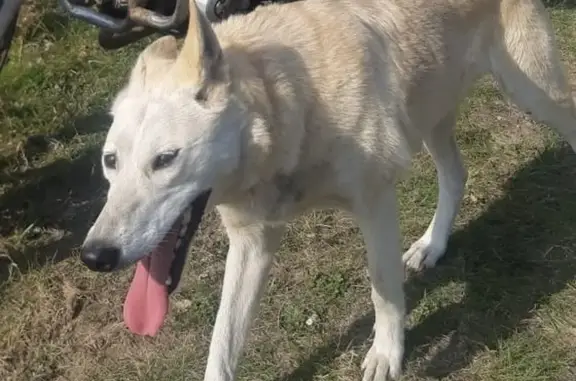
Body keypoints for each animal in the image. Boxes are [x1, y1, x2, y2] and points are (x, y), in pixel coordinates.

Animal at [80, 0, 576, 378]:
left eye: (165, 159)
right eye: (110, 162)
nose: (94, 256)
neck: (293, 104)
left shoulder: (376, 204)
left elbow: (383, 289)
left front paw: (387, 355)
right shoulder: (252, 242)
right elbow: (222, 344)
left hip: (534, 94)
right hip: (430, 113)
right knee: (456, 173)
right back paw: (432, 246)